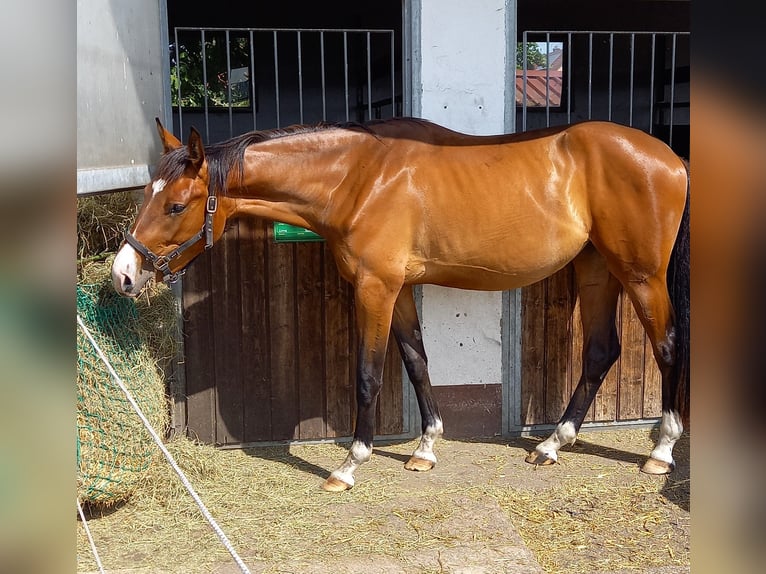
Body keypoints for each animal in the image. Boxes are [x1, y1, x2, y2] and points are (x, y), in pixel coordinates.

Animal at [112, 116, 690, 492]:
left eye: (176, 205)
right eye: (146, 194)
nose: (123, 274)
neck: (358, 178)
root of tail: (670, 158)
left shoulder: (376, 287)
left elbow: (369, 374)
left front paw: (350, 464)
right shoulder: (400, 289)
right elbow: (416, 360)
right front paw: (425, 449)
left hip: (640, 274)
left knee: (665, 345)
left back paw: (660, 451)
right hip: (597, 268)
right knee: (600, 351)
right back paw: (551, 444)